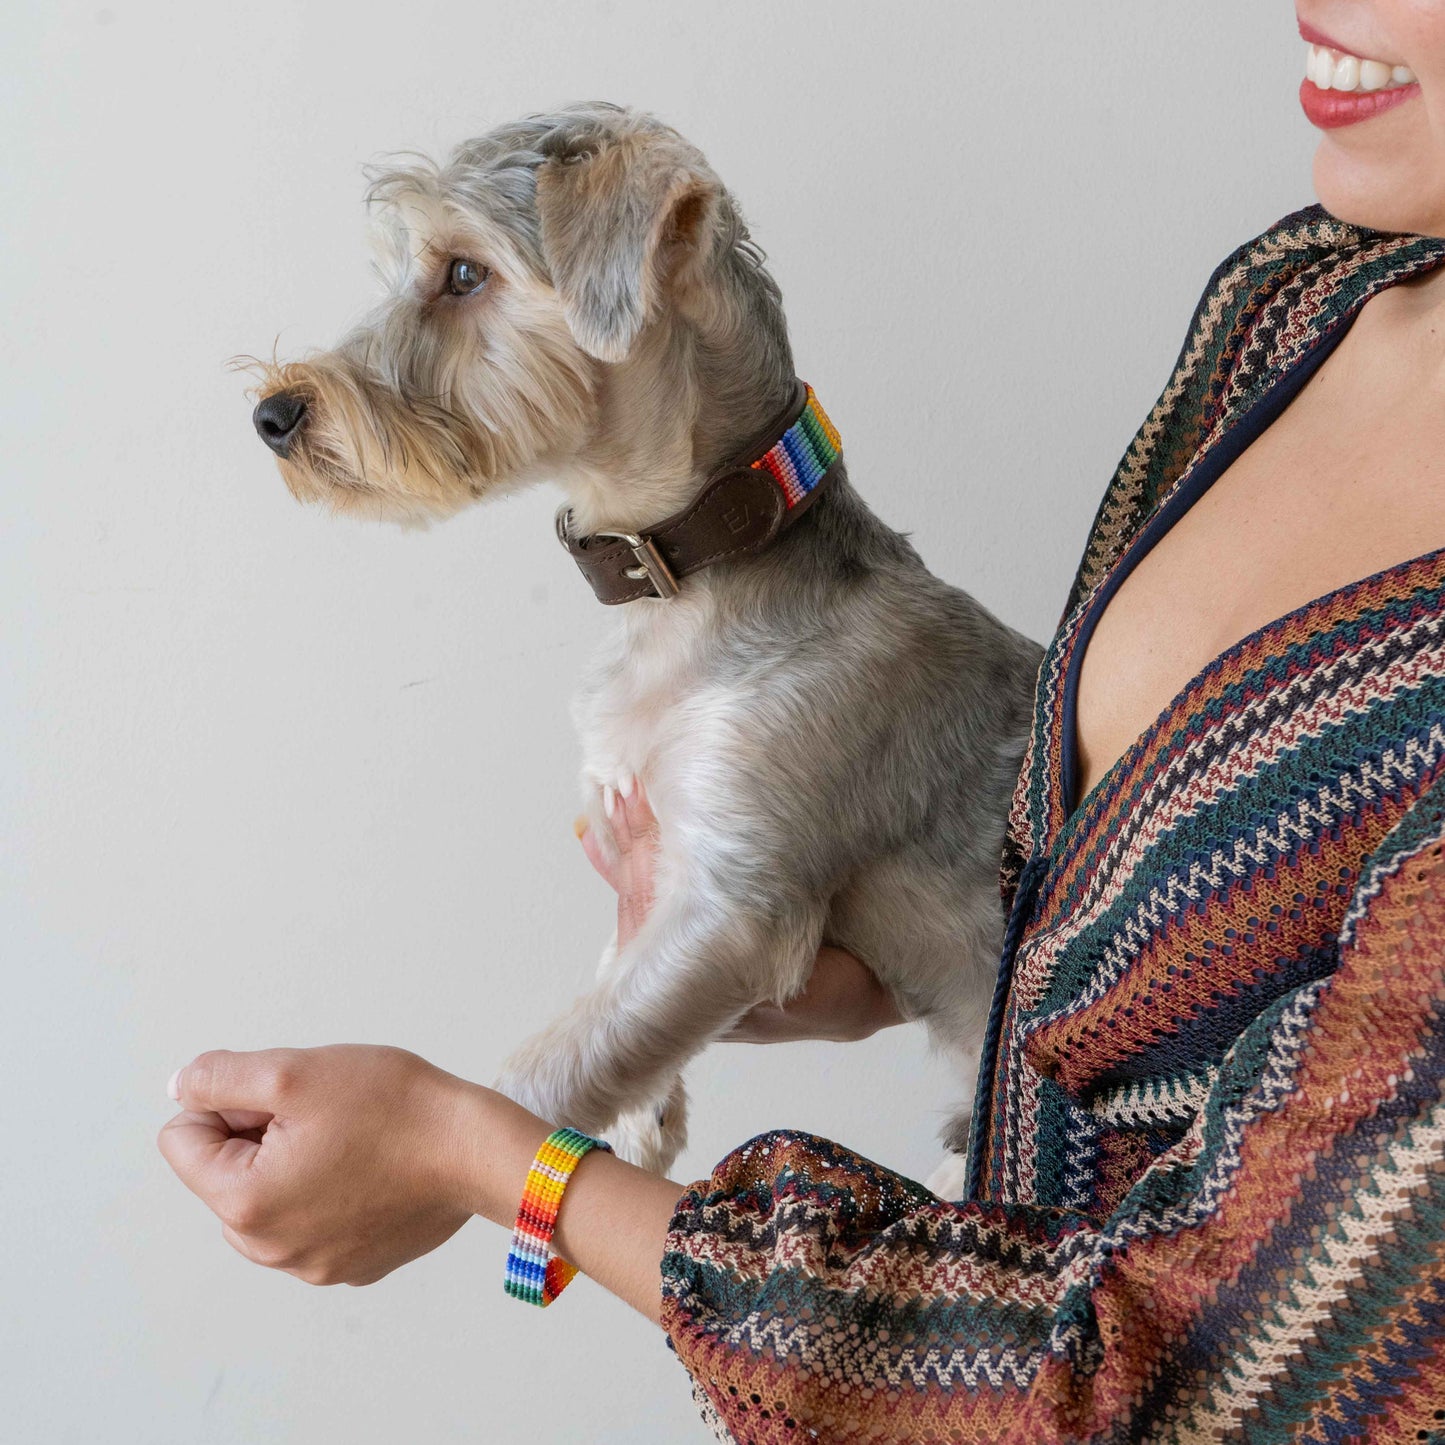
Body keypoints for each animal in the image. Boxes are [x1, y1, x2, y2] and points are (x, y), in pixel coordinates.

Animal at [245, 98, 1040, 1184]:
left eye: (464, 272)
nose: (272, 413)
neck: (687, 580)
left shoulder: (734, 893)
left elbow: (538, 1072)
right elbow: (612, 985)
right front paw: (639, 1110)